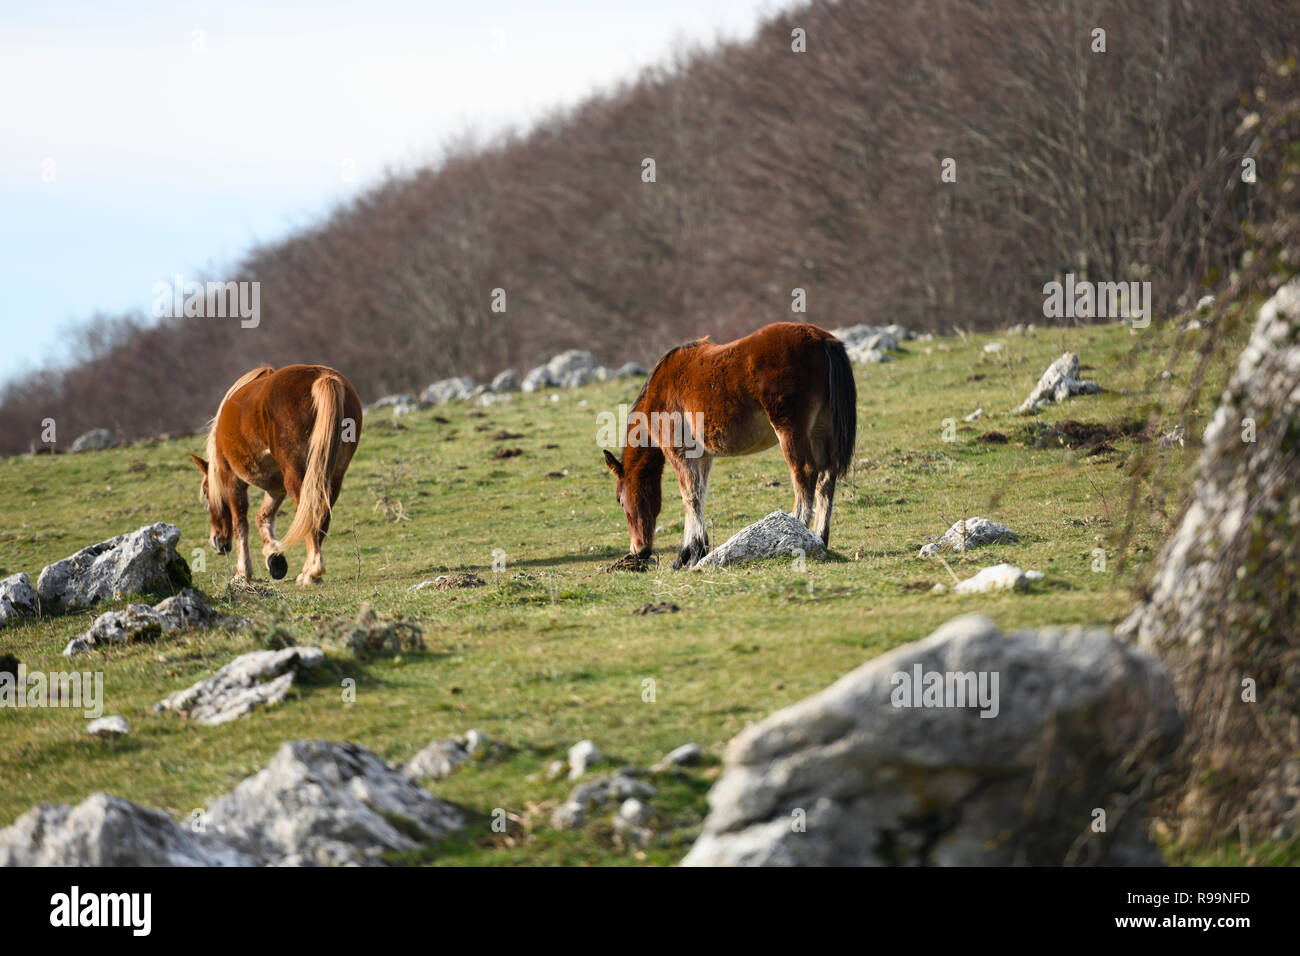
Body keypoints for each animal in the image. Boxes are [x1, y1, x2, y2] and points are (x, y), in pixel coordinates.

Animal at [189, 364, 361, 582]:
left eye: (205, 491)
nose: (217, 542)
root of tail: (322, 377)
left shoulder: (232, 480)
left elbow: (240, 524)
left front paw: (242, 573)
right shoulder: (276, 487)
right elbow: (263, 516)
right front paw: (274, 556)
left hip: (299, 478)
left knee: (311, 515)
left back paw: (311, 572)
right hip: (332, 478)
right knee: (322, 517)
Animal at [603, 321, 857, 567]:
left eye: (619, 500)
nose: (638, 550)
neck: (660, 392)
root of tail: (822, 339)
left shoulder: (678, 452)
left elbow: (690, 497)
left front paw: (691, 554)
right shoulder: (702, 456)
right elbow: (698, 495)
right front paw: (688, 553)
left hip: (791, 431)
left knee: (804, 475)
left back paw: (795, 532)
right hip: (821, 431)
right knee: (826, 479)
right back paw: (819, 538)